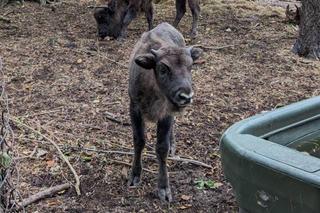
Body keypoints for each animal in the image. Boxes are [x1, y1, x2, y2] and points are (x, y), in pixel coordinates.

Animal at [127, 22, 202, 201]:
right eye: (163, 68)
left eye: (190, 67)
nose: (186, 96)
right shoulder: (134, 108)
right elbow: (139, 141)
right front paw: (134, 176)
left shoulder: (166, 114)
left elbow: (162, 148)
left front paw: (163, 189)